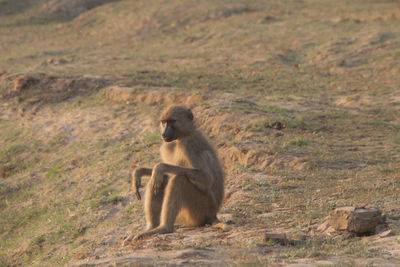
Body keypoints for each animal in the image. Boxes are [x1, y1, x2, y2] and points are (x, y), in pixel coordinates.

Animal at [124, 105, 223, 243]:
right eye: (164, 122)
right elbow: (162, 175)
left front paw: (159, 167)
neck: (181, 137)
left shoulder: (189, 144)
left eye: (172, 121)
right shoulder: (167, 145)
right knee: (162, 179)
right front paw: (139, 171)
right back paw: (151, 228)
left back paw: (164, 228)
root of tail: (213, 214)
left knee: (179, 179)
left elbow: (206, 179)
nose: (163, 134)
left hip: (201, 211)